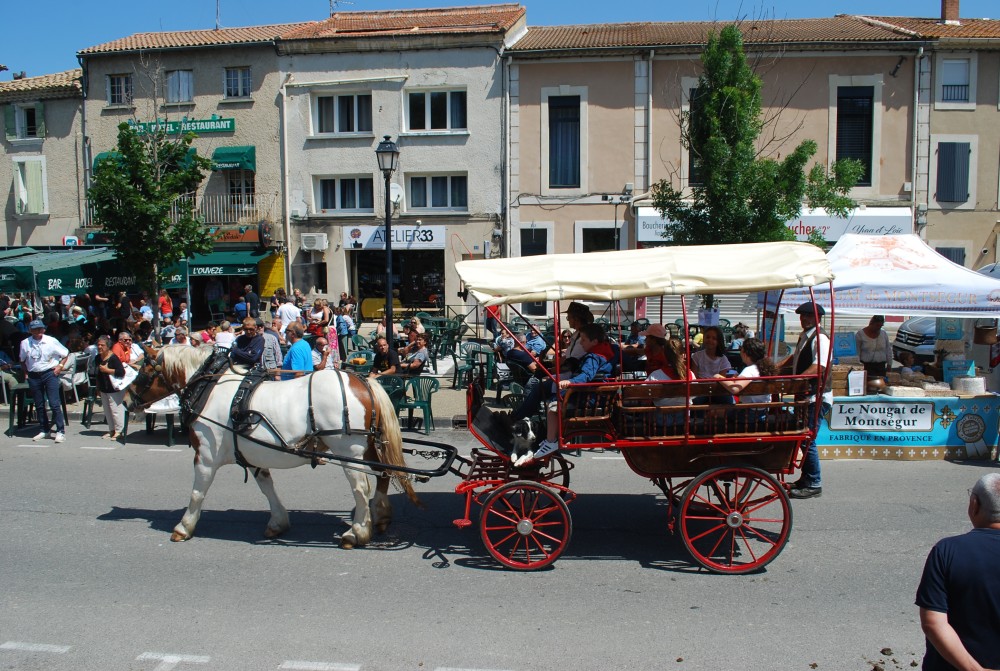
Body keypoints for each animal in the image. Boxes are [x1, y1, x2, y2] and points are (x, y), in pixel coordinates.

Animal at [128, 346, 418, 552]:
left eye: (143, 371)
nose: (128, 400)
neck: (208, 388)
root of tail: (363, 381)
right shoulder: (252, 453)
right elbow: (266, 486)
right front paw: (278, 522)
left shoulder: (206, 455)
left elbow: (198, 492)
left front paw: (183, 527)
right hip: (369, 445)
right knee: (383, 475)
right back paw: (380, 516)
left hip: (348, 450)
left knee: (361, 487)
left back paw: (356, 532)